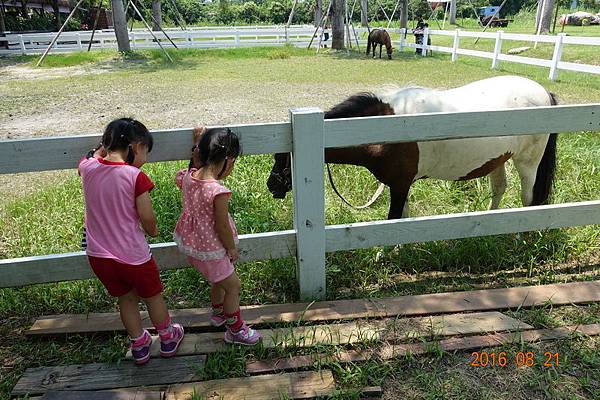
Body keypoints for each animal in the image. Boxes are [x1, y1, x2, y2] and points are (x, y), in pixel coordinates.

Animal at [268, 76, 556, 220]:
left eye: (284, 158)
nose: (272, 186)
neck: (384, 128)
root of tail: (545, 93)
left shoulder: (400, 184)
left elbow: (394, 217)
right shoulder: (401, 184)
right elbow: (403, 216)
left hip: (527, 163)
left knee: (527, 198)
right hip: (498, 158)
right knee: (499, 189)